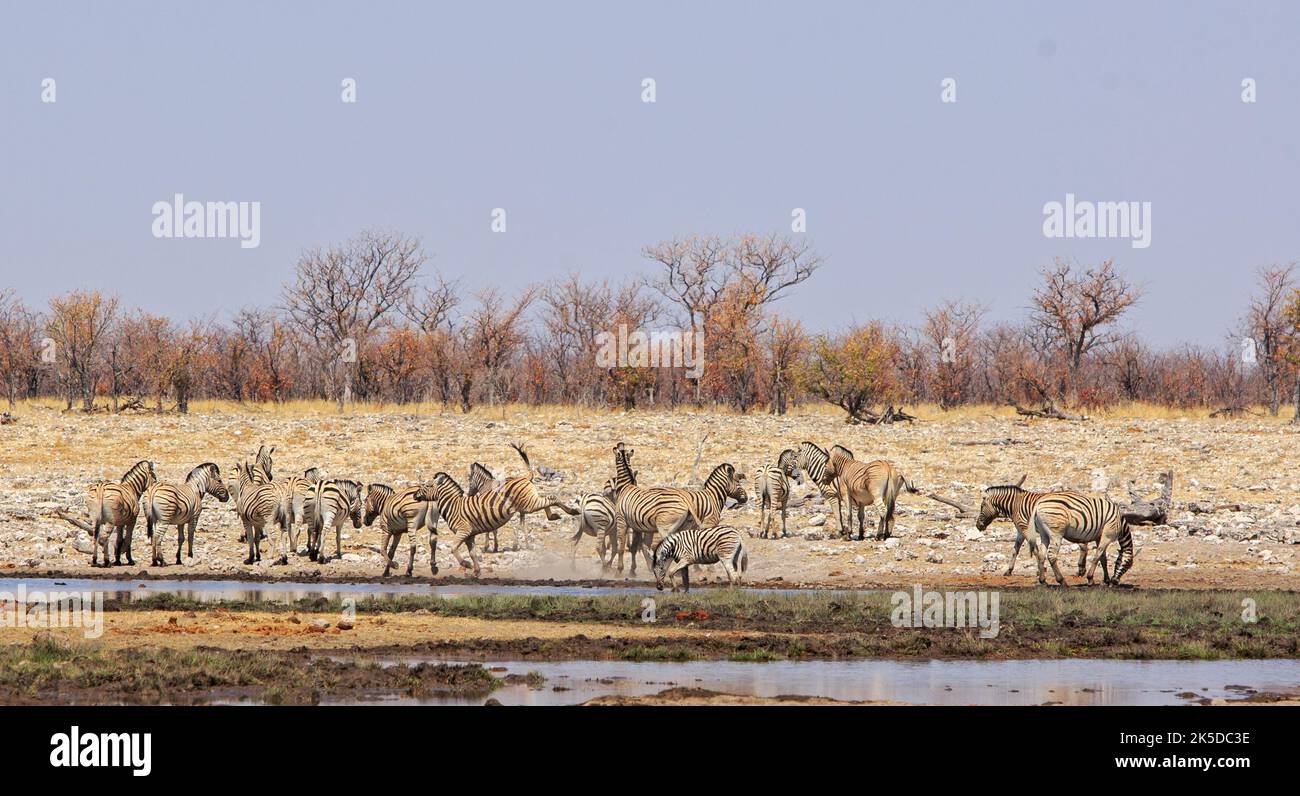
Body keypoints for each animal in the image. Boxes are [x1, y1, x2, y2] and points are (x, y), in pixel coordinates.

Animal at [428, 465, 577, 577]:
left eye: (470, 479)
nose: (469, 494)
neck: (486, 484)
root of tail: (526, 477)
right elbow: (493, 530)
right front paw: (493, 547)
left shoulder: (484, 512)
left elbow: (490, 531)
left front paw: (488, 547)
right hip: (526, 505)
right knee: (536, 510)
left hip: (527, 505)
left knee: (548, 500)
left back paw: (569, 511)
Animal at [608, 444, 702, 574]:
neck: (626, 486)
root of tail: (685, 499)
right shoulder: (639, 526)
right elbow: (640, 546)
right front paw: (641, 568)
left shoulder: (621, 521)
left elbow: (621, 547)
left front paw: (619, 570)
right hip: (684, 526)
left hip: (665, 527)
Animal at [977, 476, 1107, 582]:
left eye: (982, 506)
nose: (978, 526)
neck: (1014, 505)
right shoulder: (1020, 531)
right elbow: (1015, 550)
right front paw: (1008, 571)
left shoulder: (1025, 528)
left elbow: (1035, 550)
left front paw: (1041, 571)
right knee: (1083, 545)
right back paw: (1081, 569)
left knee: (1083, 545)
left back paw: (1081, 569)